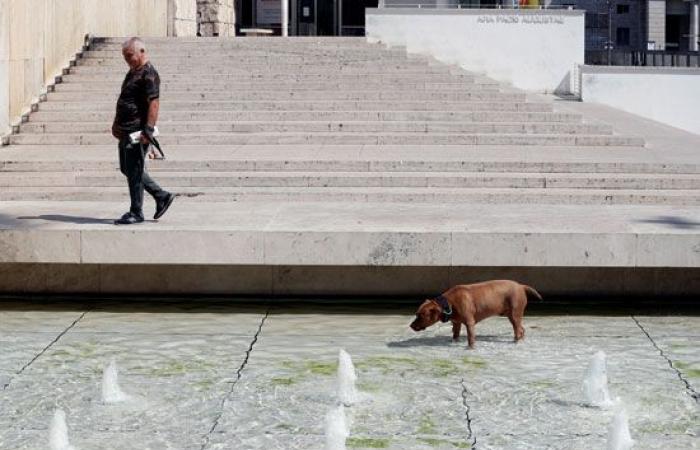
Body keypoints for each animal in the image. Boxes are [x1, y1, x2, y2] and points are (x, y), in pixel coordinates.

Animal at [410, 280, 540, 350]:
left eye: (420, 316)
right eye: (416, 314)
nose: (411, 326)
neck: (448, 303)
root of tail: (521, 286)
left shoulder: (469, 323)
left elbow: (470, 337)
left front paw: (470, 348)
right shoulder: (456, 323)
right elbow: (455, 334)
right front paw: (454, 342)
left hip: (514, 315)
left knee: (518, 329)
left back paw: (516, 341)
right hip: (512, 315)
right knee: (521, 329)